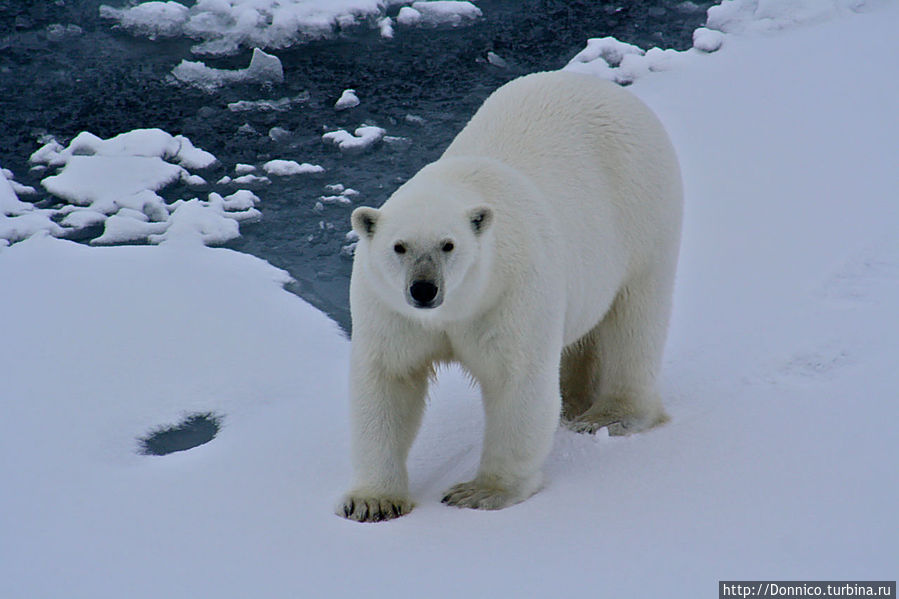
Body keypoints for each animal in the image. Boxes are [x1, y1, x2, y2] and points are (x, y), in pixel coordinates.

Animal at [338, 70, 684, 524]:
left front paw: (480, 492)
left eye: (448, 245)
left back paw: (611, 415)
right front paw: (372, 502)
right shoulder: (390, 310)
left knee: (634, 318)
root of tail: (605, 87)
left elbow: (517, 380)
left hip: (643, 212)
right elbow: (388, 380)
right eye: (399, 247)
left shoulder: (509, 293)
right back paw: (573, 404)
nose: (424, 289)